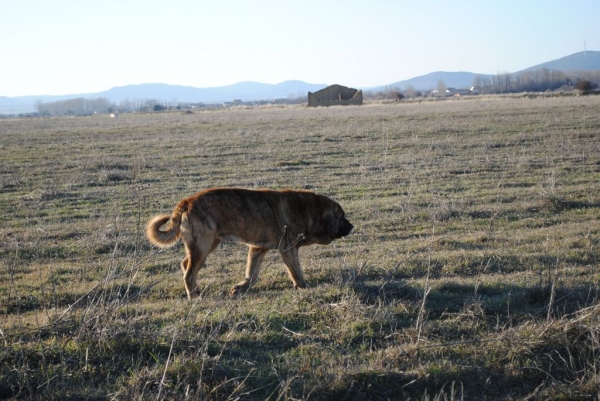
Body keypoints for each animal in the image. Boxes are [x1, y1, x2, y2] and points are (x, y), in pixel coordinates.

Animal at [145, 187, 352, 296]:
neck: (308, 210)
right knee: (189, 273)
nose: (352, 226)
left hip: (208, 245)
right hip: (203, 247)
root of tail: (187, 201)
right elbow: (296, 272)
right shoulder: (288, 249)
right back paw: (194, 296)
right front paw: (303, 287)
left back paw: (197, 289)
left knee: (185, 264)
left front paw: (241, 287)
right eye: (342, 216)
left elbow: (251, 274)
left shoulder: (257, 249)